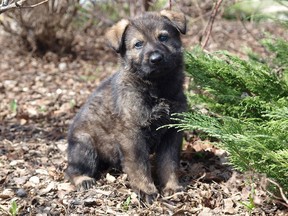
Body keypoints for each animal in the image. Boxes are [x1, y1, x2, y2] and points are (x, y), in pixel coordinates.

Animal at [66, 10, 187, 202]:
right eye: (138, 44)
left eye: (163, 37)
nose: (156, 59)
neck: (157, 88)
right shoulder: (132, 135)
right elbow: (139, 166)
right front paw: (146, 190)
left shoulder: (172, 132)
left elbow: (169, 163)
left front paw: (172, 187)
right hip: (84, 146)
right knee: (72, 169)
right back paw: (83, 179)